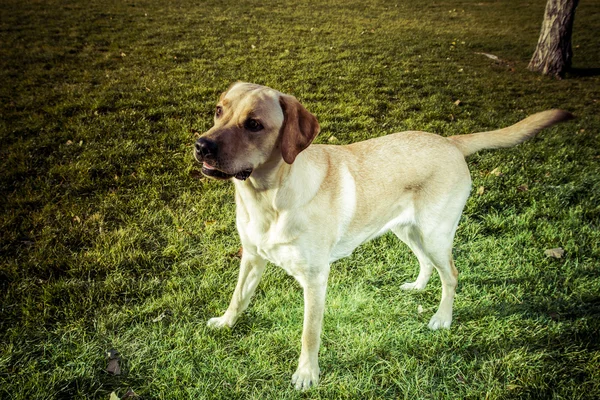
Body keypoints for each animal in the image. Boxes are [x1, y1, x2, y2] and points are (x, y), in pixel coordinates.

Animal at [195, 82, 576, 390]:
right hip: (406, 229)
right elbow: (238, 297)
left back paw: (442, 318)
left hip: (435, 234)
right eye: (218, 110)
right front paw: (226, 322)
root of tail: (450, 141)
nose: (201, 145)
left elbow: (309, 334)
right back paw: (418, 287)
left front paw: (307, 374)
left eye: (254, 124)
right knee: (426, 264)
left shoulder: (316, 279)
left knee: (451, 274)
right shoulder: (252, 256)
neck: (267, 198)